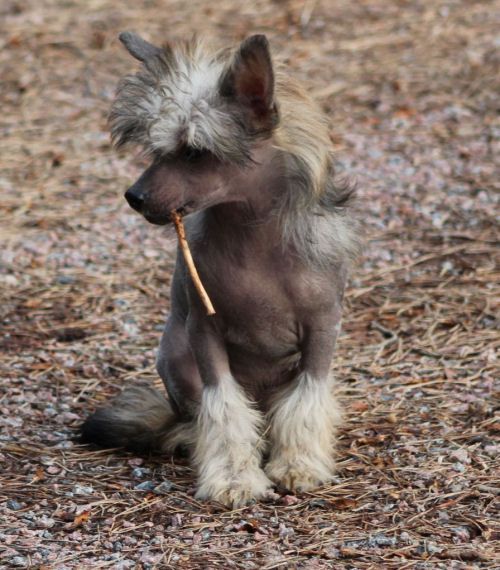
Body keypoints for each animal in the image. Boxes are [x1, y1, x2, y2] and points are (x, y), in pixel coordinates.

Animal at [81, 32, 361, 507]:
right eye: (158, 150)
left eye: (195, 153)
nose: (134, 196)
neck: (254, 242)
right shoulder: (203, 333)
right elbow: (223, 408)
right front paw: (234, 478)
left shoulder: (323, 330)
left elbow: (307, 401)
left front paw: (298, 465)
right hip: (175, 358)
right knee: (197, 420)